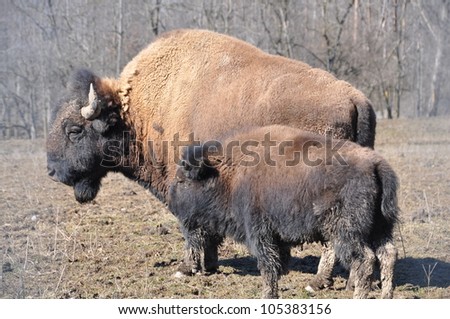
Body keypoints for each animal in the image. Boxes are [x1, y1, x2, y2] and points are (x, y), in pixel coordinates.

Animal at [45, 29, 376, 292]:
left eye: (74, 129)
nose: (51, 170)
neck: (139, 113)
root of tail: (354, 98)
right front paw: (210, 265)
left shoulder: (182, 186)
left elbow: (192, 228)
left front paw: (186, 268)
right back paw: (352, 281)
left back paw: (318, 281)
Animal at [168, 125, 398, 300]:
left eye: (182, 180)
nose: (171, 204)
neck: (228, 174)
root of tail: (376, 164)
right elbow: (277, 264)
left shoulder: (260, 233)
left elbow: (268, 267)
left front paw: (268, 296)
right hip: (381, 228)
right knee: (387, 254)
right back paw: (386, 296)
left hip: (346, 233)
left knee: (364, 261)